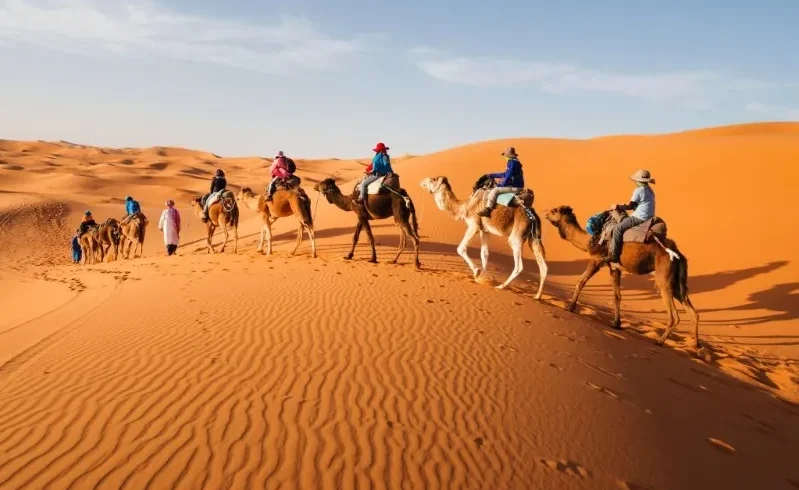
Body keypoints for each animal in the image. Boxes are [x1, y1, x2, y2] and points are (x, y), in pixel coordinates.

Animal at [419, 176, 548, 299]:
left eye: (433, 179)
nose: (422, 181)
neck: (466, 206)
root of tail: (532, 215)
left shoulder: (474, 226)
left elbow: (461, 248)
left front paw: (477, 272)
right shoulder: (485, 231)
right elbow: (484, 254)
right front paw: (481, 278)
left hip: (517, 235)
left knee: (519, 265)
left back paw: (501, 286)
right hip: (533, 238)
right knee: (543, 266)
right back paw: (537, 296)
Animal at [544, 205, 701, 352]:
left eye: (554, 210)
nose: (545, 213)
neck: (590, 241)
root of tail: (678, 254)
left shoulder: (597, 259)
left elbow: (581, 281)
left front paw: (570, 307)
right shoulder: (615, 268)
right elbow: (616, 296)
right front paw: (616, 323)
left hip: (664, 277)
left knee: (674, 315)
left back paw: (660, 341)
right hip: (676, 281)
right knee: (692, 311)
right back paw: (695, 346)